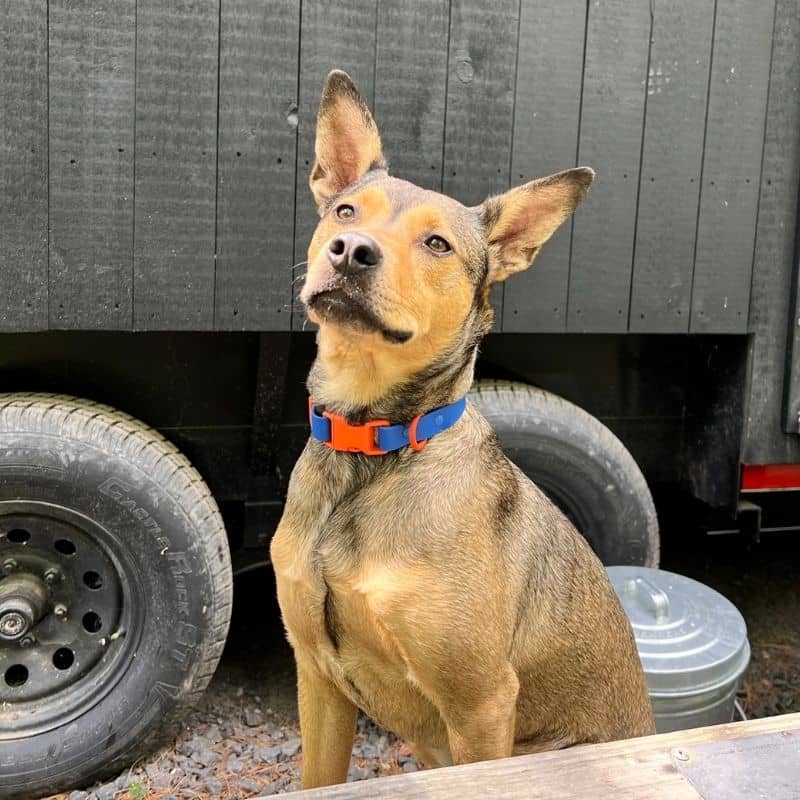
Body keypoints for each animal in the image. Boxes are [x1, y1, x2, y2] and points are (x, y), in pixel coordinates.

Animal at [272, 72, 652, 792]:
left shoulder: (480, 703)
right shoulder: (317, 678)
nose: (350, 253)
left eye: (437, 245)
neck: (374, 447)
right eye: (345, 212)